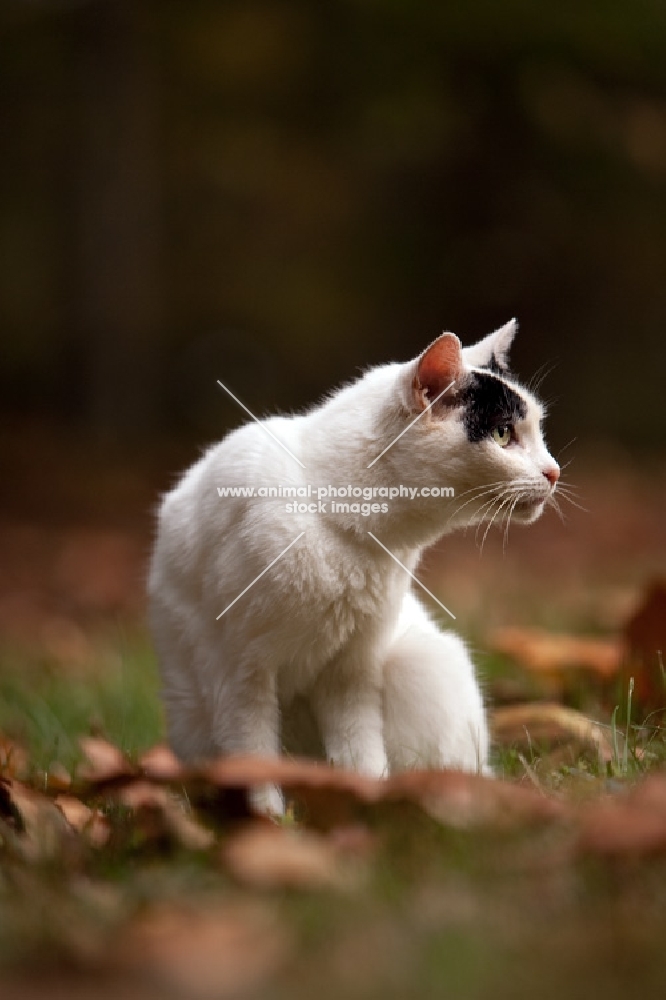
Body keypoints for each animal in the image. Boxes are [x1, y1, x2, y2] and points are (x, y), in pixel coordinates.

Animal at [148, 320, 556, 812]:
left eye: (537, 431)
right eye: (501, 434)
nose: (554, 472)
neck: (337, 517)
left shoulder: (352, 669)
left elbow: (360, 750)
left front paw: (368, 805)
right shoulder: (239, 672)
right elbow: (253, 753)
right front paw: (268, 819)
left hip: (424, 663)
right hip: (192, 714)